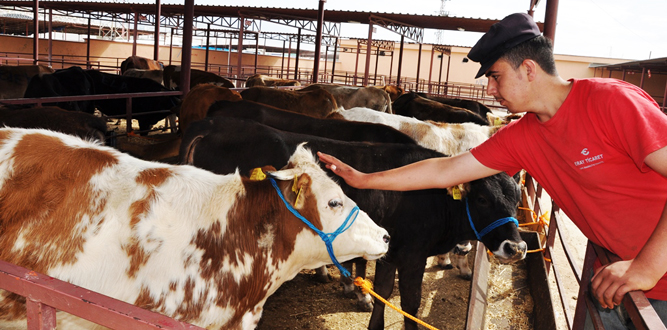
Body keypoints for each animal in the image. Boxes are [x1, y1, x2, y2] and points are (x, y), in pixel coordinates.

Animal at [181, 117, 528, 330]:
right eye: (482, 199)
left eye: (515, 198)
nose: (516, 246)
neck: (433, 197)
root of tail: (211, 128)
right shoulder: (413, 256)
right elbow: (410, 304)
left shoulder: (392, 251)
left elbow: (384, 293)